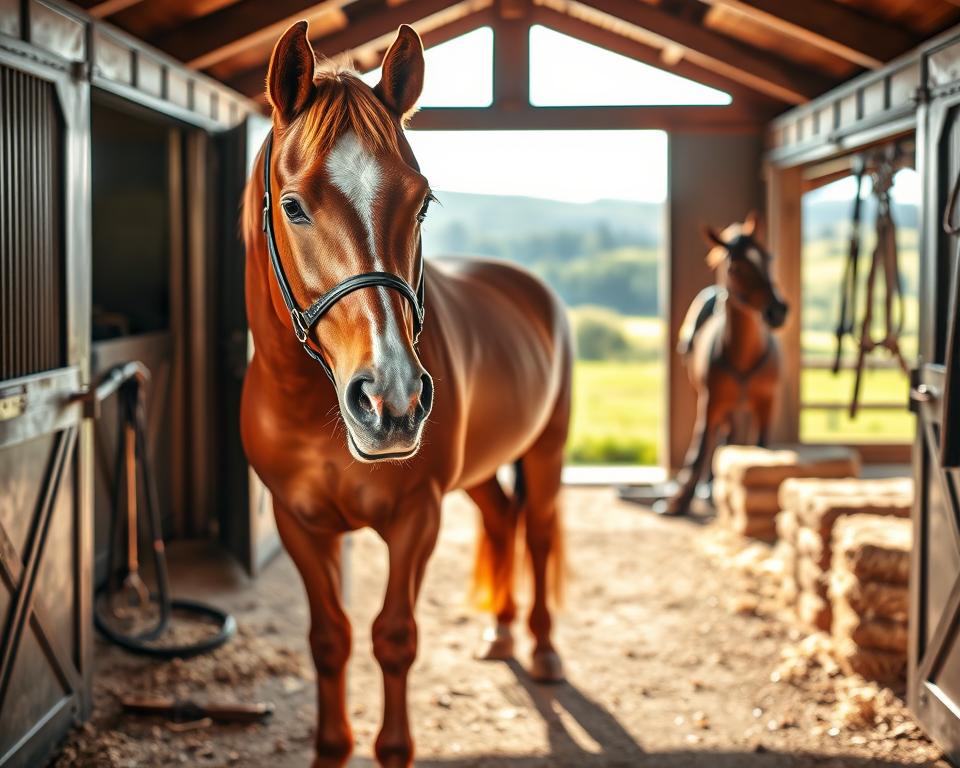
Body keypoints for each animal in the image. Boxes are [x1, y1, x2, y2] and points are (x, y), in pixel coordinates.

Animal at [240, 22, 571, 768]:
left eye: (421, 203)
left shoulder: (416, 517)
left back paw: (541, 650)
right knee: (501, 519)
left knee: (536, 532)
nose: (391, 402)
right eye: (294, 206)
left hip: (545, 451)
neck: (314, 411)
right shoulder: (299, 523)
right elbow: (329, 639)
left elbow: (393, 638)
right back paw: (500, 634)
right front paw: (331, 748)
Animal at [664, 213, 788, 517]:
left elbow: (760, 447)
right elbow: (699, 449)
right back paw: (708, 486)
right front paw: (679, 500)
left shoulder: (767, 402)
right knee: (719, 436)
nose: (777, 311)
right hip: (715, 399)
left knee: (727, 436)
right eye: (736, 267)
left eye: (768, 257)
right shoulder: (710, 401)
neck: (743, 354)